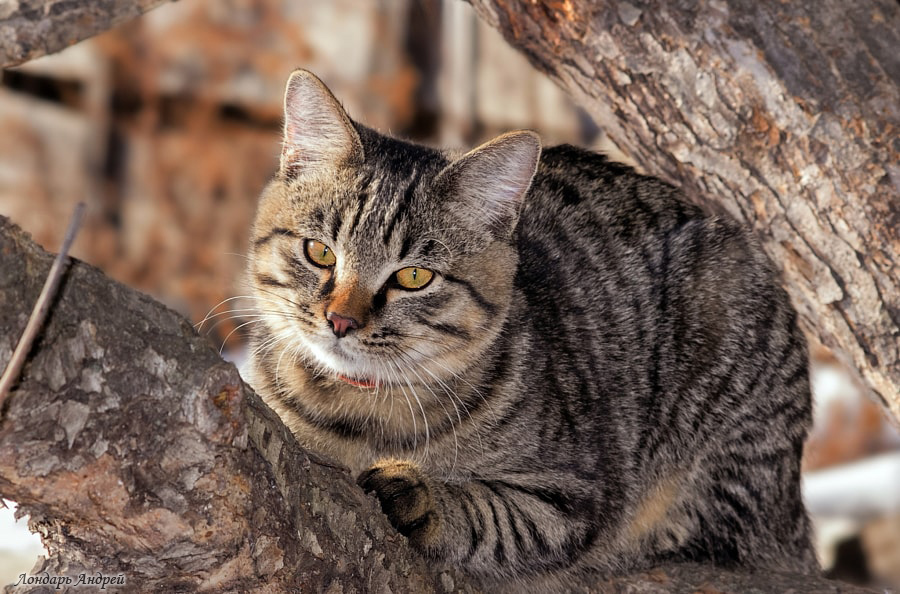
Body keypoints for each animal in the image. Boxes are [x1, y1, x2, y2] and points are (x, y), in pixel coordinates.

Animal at [243, 68, 820, 584]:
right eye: (319, 252)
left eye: (413, 277)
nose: (340, 320)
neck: (360, 412)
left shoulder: (574, 495)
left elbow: (491, 515)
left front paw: (421, 495)